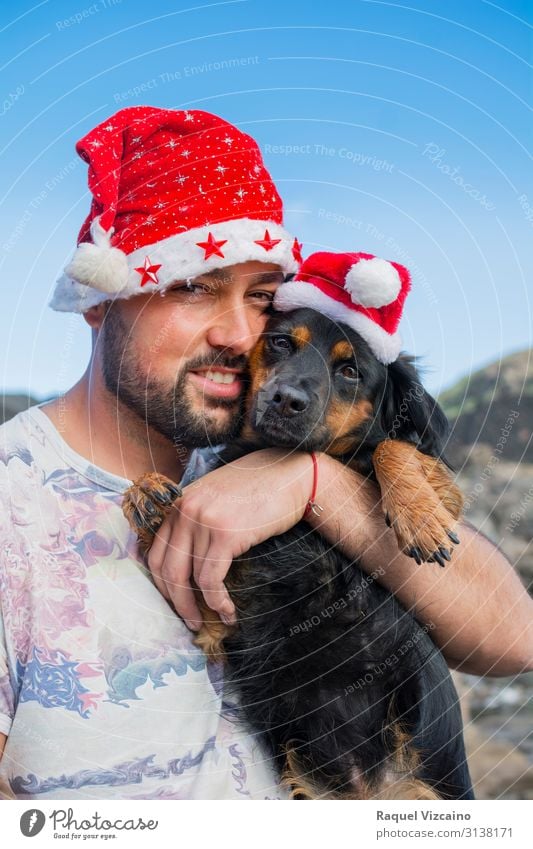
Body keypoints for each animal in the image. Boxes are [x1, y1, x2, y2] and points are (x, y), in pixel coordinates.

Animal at [122, 306, 472, 800]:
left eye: (350, 371)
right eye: (281, 342)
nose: (285, 400)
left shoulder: (446, 491)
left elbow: (392, 446)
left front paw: (420, 516)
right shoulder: (215, 620)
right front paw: (146, 494)